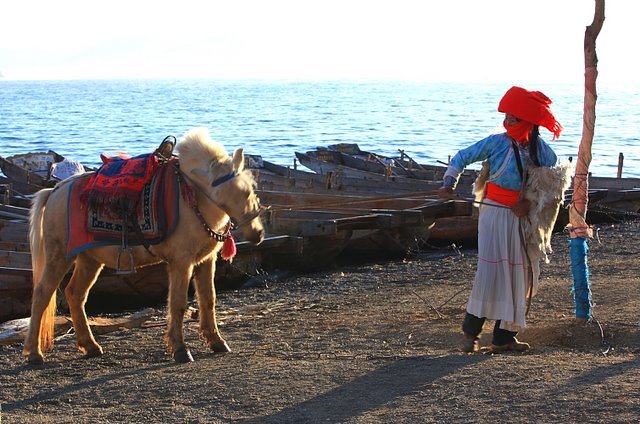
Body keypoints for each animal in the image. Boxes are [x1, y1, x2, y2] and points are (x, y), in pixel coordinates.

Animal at [24, 127, 264, 362]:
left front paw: (216, 341)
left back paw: (90, 346)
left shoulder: (205, 261)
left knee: (75, 294)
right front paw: (180, 349)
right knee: (42, 294)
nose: (259, 234)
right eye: (245, 192)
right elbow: (178, 303)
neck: (193, 198)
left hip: (89, 259)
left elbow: (208, 299)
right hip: (59, 255)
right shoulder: (181, 261)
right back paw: (34, 353)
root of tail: (54, 191)